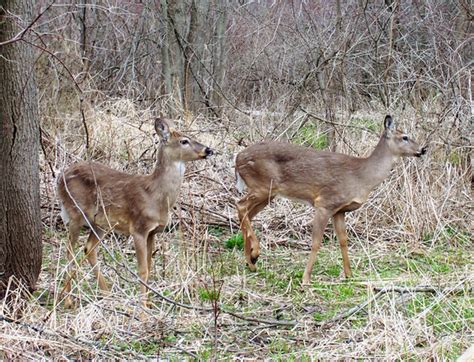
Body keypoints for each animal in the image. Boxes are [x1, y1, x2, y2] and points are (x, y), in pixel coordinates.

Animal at [58, 117, 214, 306]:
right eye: (184, 141)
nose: (208, 149)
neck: (155, 196)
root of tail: (60, 177)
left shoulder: (153, 231)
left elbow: (150, 266)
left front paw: (148, 303)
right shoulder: (138, 228)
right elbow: (143, 270)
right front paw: (142, 309)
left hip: (100, 223)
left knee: (89, 249)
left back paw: (106, 294)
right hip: (75, 212)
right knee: (69, 251)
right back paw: (67, 300)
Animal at [235, 114, 428, 284]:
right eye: (404, 137)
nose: (423, 149)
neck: (361, 176)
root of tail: (237, 158)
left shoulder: (340, 210)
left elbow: (343, 241)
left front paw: (349, 275)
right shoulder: (325, 203)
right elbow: (316, 242)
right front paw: (306, 279)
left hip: (268, 193)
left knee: (247, 214)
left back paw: (250, 261)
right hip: (263, 186)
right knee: (240, 206)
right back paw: (255, 253)